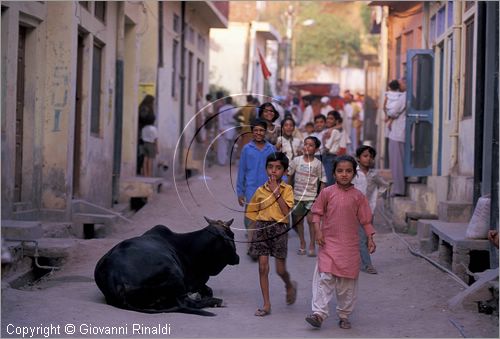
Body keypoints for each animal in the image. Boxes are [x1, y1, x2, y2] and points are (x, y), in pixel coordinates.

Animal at [96, 218, 242, 316]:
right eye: (232, 235)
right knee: (187, 303)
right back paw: (216, 301)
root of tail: (114, 278)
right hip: (173, 272)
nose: (237, 257)